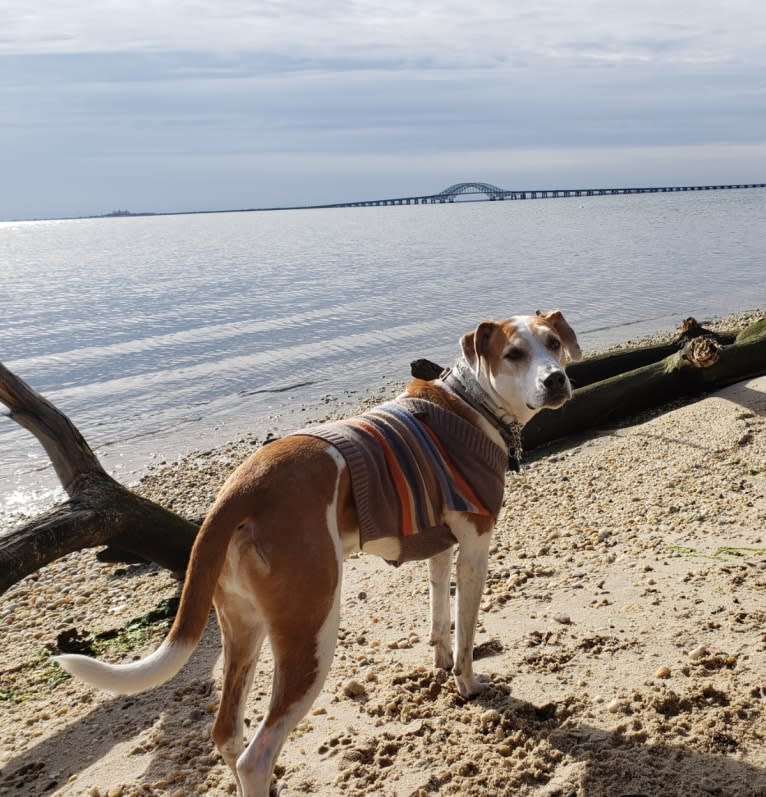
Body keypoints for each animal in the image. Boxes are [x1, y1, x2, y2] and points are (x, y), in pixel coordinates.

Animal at [54, 310, 584, 796]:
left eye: (553, 343)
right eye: (513, 354)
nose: (556, 379)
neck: (470, 404)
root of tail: (239, 490)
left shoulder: (439, 544)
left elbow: (439, 611)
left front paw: (437, 657)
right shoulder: (474, 547)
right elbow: (467, 630)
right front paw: (466, 683)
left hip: (243, 628)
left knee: (226, 733)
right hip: (310, 631)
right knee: (256, 756)